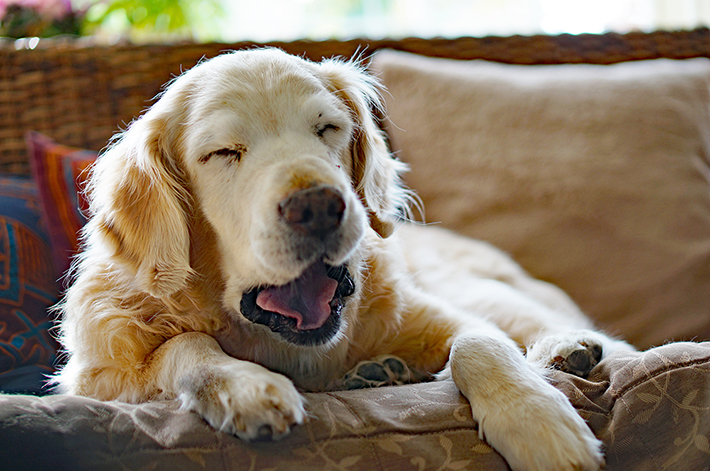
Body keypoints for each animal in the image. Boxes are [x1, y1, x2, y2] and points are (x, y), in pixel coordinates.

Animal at [54, 48, 636, 471]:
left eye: (327, 128)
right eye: (223, 153)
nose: (317, 207)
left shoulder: (438, 315)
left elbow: (479, 343)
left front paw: (537, 422)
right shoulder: (97, 380)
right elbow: (181, 345)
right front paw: (243, 384)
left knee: (596, 341)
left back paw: (564, 350)